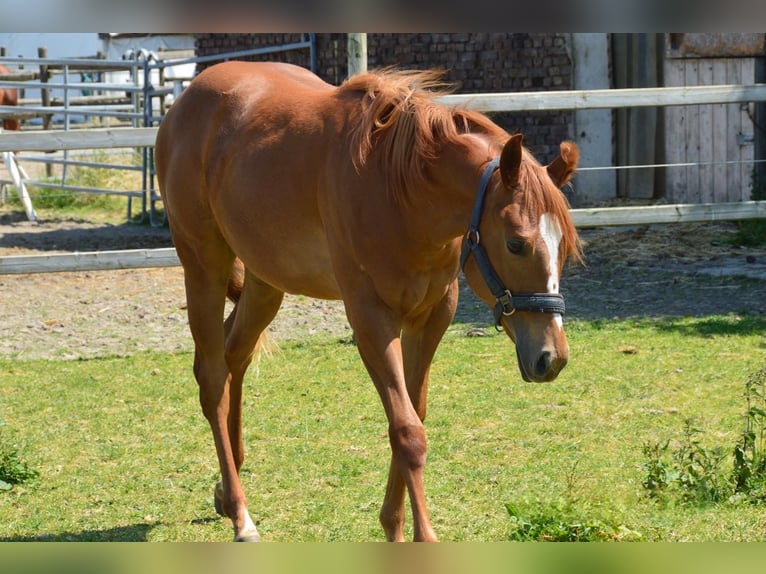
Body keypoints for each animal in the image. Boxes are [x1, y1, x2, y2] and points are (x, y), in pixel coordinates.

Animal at [156, 60, 584, 544]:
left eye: (564, 247)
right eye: (516, 244)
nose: (552, 357)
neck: (401, 190)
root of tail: (187, 100)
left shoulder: (431, 318)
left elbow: (414, 415)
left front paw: (394, 527)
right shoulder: (372, 322)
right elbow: (408, 431)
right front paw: (422, 537)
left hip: (266, 282)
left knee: (236, 356)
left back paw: (226, 491)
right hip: (202, 264)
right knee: (212, 376)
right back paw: (242, 515)